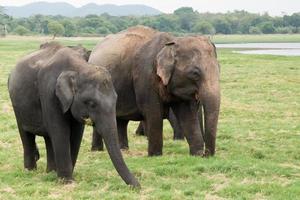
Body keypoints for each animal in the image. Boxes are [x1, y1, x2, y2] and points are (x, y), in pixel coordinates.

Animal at [8, 41, 139, 187]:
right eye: (91, 103)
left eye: (116, 99)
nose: (138, 187)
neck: (78, 68)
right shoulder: (49, 92)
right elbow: (60, 131)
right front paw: (67, 181)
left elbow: (76, 134)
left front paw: (66, 177)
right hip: (17, 107)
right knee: (26, 135)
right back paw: (30, 171)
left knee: (48, 138)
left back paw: (51, 172)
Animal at [89, 25, 220, 156]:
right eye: (195, 73)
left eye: (219, 68)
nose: (206, 154)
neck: (171, 42)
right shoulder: (145, 75)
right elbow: (153, 111)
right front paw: (155, 155)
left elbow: (187, 114)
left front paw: (196, 154)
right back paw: (97, 150)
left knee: (121, 120)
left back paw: (123, 150)